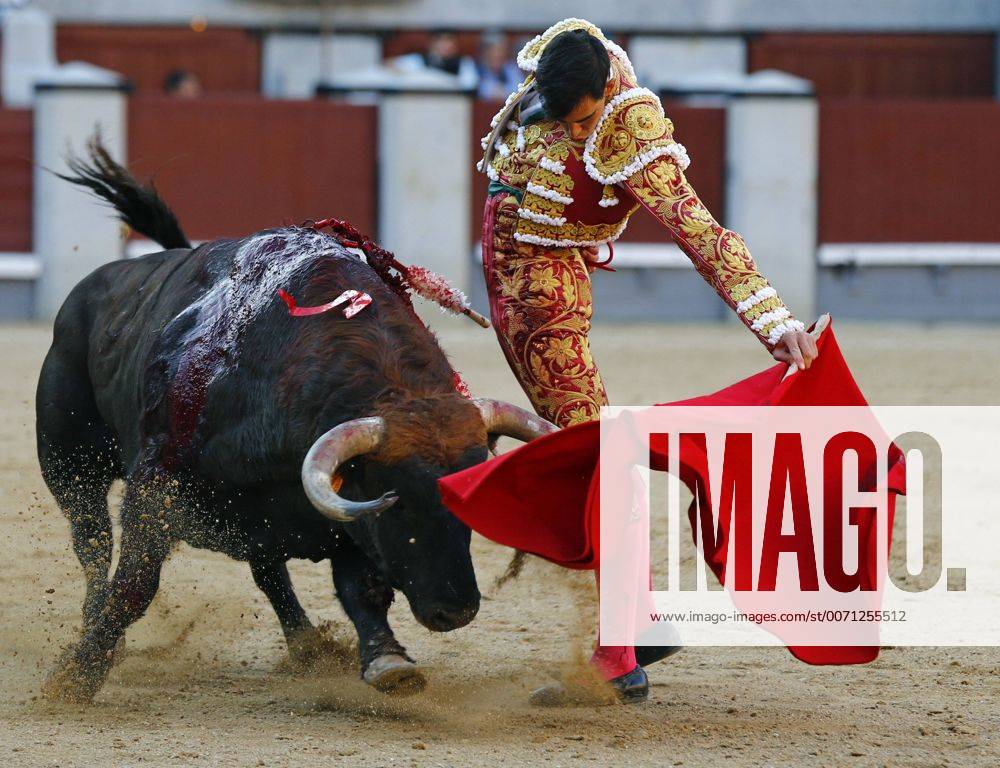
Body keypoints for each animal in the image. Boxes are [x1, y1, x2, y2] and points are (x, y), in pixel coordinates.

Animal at [37, 144, 556, 704]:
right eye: (401, 501)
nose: (455, 609)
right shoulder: (157, 486)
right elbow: (134, 585)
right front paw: (76, 675)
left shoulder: (342, 511)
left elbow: (360, 590)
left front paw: (388, 661)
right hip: (69, 465)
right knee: (93, 547)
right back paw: (90, 628)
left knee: (268, 572)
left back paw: (308, 645)